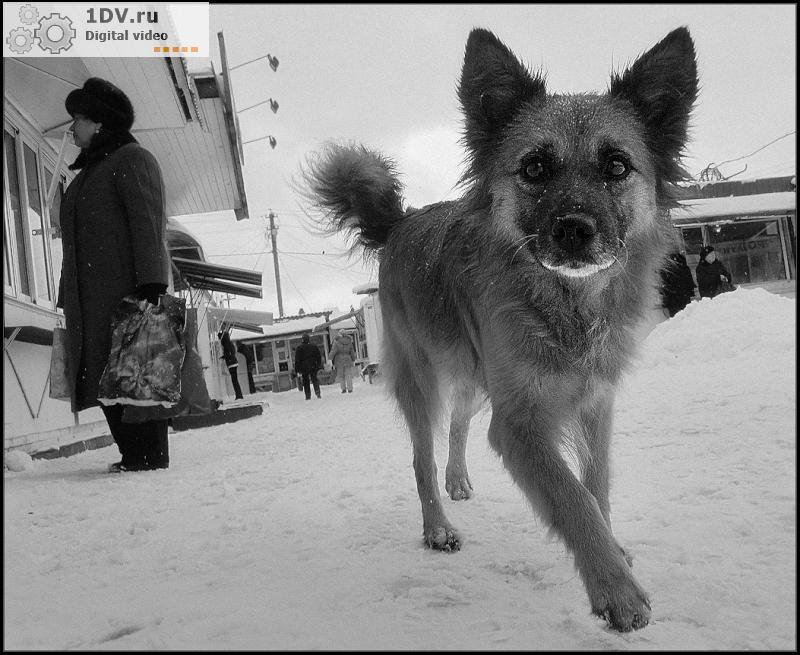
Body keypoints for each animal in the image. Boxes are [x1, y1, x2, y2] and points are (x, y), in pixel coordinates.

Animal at [304, 26, 696, 632]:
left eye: (616, 166)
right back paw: (437, 526)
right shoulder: (518, 423)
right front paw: (616, 589)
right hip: (421, 380)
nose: (574, 230)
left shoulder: (595, 402)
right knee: (421, 457)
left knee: (459, 424)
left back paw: (458, 480)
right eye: (534, 168)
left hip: (471, 371)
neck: (567, 309)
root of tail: (401, 221)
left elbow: (597, 484)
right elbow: (571, 497)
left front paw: (612, 550)